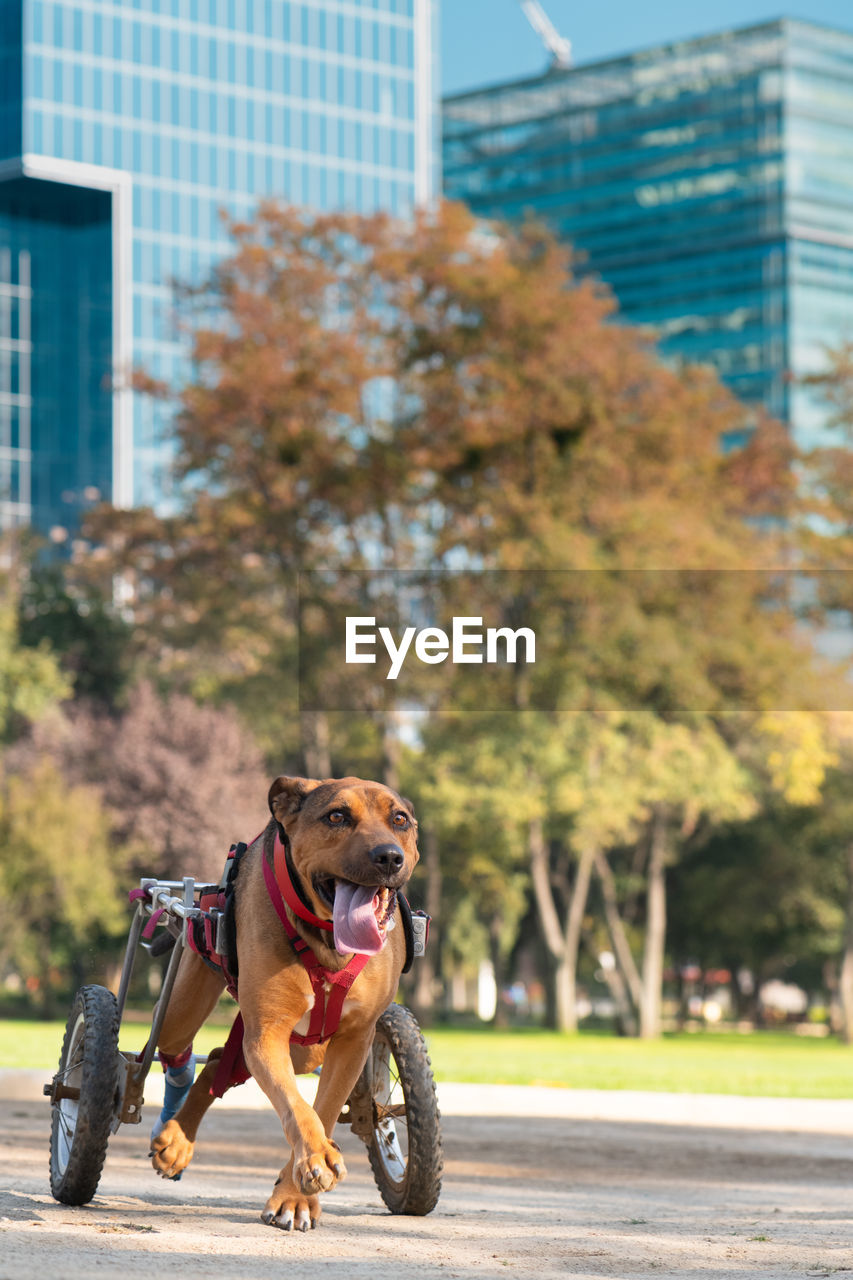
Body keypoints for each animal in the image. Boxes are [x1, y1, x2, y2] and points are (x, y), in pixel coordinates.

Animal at [151, 773, 422, 1233]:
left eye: (399, 819)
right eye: (337, 816)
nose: (388, 856)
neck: (327, 941)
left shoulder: (353, 1041)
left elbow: (323, 1109)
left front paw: (295, 1194)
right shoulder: (267, 1033)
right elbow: (296, 1108)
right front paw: (312, 1162)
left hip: (308, 1049)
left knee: (220, 1059)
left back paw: (180, 1137)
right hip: (182, 1010)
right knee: (179, 1049)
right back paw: (172, 1135)